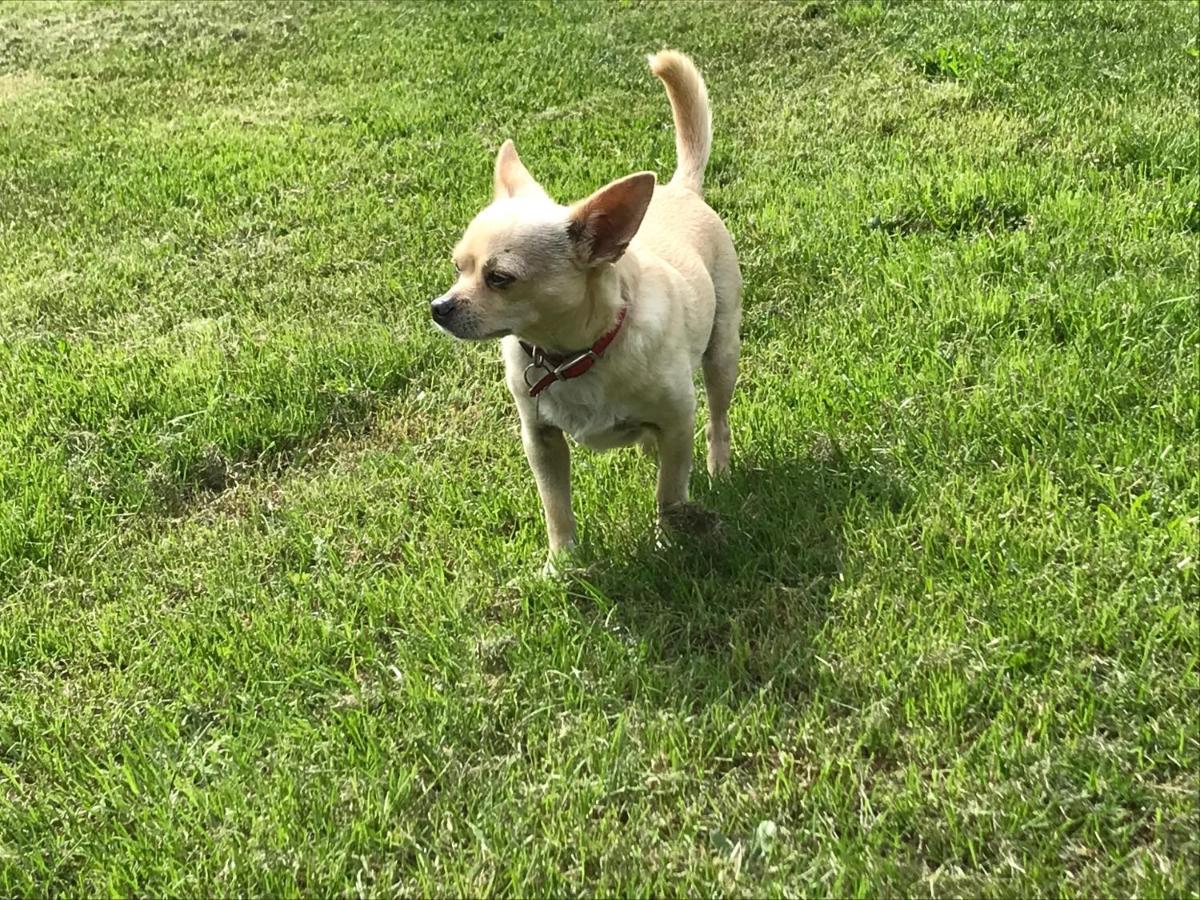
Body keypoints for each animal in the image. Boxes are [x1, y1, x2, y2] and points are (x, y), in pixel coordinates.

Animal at [434, 49, 739, 566]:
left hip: (722, 355)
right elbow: (556, 505)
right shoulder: (541, 441)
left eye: (500, 278)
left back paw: (718, 466)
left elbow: (670, 493)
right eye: (459, 268)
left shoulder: (679, 421)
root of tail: (679, 188)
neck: (573, 357)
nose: (439, 307)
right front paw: (563, 563)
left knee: (716, 420)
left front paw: (666, 540)